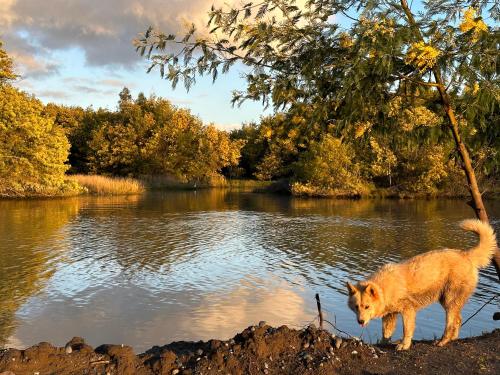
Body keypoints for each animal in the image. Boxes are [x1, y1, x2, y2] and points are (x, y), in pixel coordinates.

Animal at [348, 219, 496, 352]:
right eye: (356, 307)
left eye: (367, 306)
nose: (360, 321)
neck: (384, 288)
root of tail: (465, 255)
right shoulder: (390, 315)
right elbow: (386, 332)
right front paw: (383, 343)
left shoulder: (408, 310)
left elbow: (406, 330)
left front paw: (404, 345)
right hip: (447, 301)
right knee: (458, 320)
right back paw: (452, 339)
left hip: (450, 301)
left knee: (450, 324)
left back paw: (442, 341)